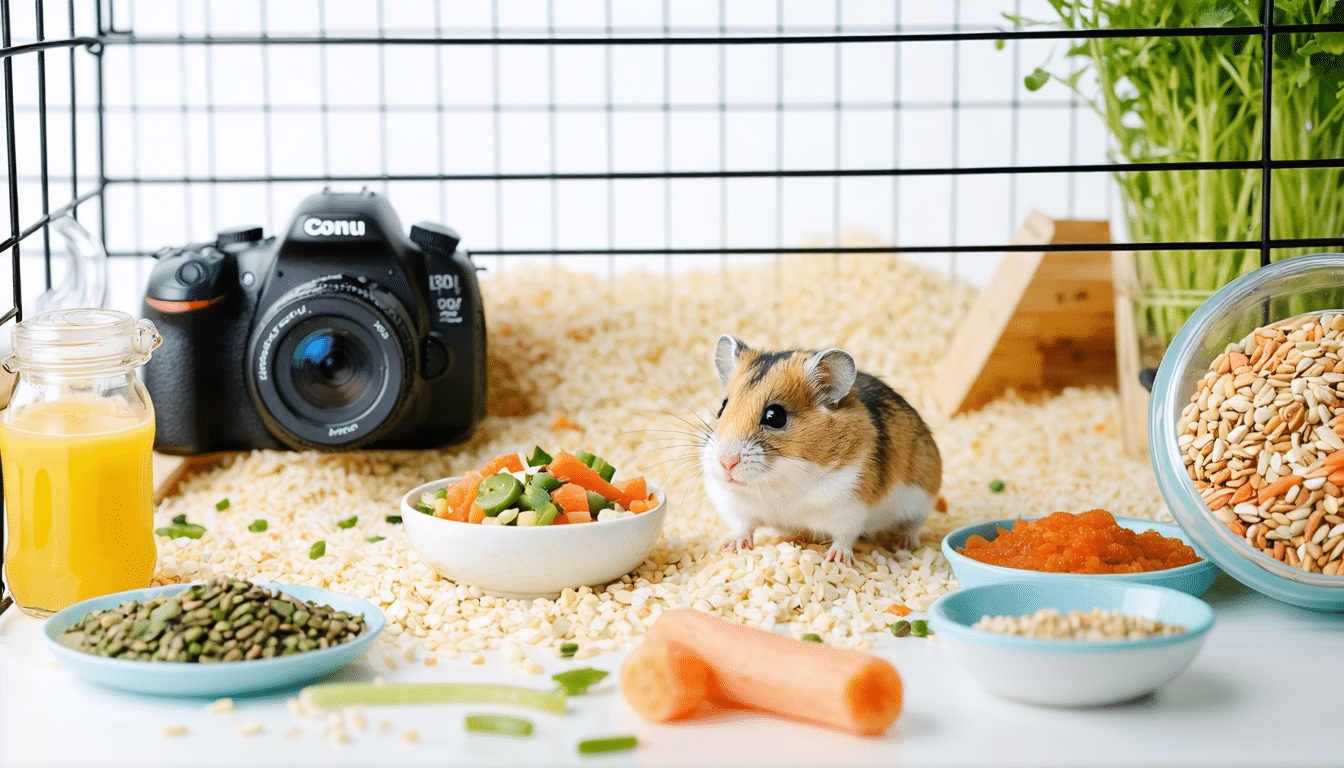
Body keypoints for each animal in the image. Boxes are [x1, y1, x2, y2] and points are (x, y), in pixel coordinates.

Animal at [701, 335, 942, 565]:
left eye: (775, 416)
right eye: (722, 407)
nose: (725, 462)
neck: (780, 486)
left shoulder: (850, 506)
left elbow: (845, 537)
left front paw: (836, 561)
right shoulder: (732, 505)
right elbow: (743, 527)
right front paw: (731, 547)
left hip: (922, 498)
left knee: (912, 525)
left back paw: (903, 544)